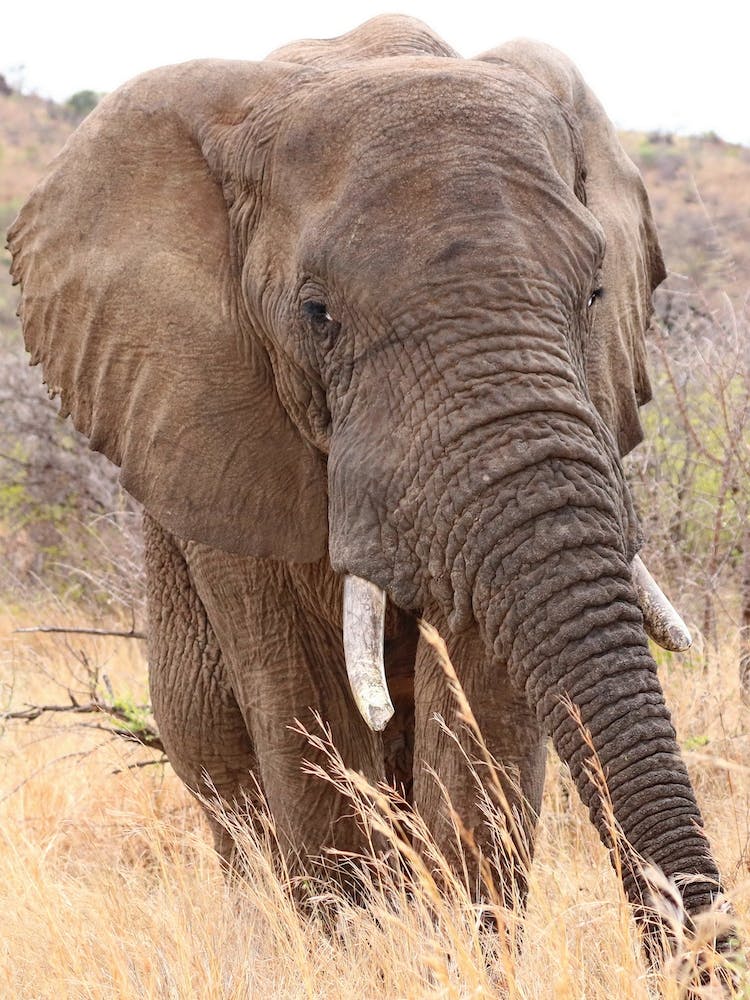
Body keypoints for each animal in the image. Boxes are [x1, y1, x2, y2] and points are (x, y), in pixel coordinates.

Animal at [7, 14, 727, 961]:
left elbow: (479, 711)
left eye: (596, 292)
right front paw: (360, 956)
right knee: (227, 774)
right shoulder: (217, 422)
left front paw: (464, 958)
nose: (704, 935)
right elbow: (307, 706)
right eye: (318, 315)